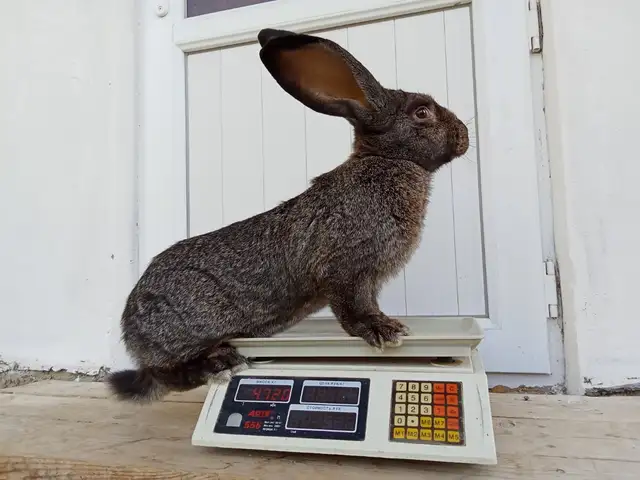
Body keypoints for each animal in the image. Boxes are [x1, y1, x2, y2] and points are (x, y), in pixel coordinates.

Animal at [106, 27, 469, 403]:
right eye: (422, 112)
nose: (465, 135)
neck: (388, 160)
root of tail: (130, 327)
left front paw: (388, 325)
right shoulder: (346, 269)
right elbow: (353, 307)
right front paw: (383, 330)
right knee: (169, 372)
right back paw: (221, 364)